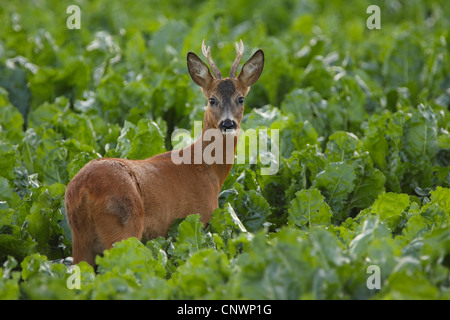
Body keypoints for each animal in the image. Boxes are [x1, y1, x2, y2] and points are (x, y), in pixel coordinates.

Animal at [65, 40, 266, 264]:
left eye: (241, 99)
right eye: (212, 100)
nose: (228, 123)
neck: (206, 169)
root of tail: (83, 190)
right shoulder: (201, 214)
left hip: (80, 237)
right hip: (123, 226)